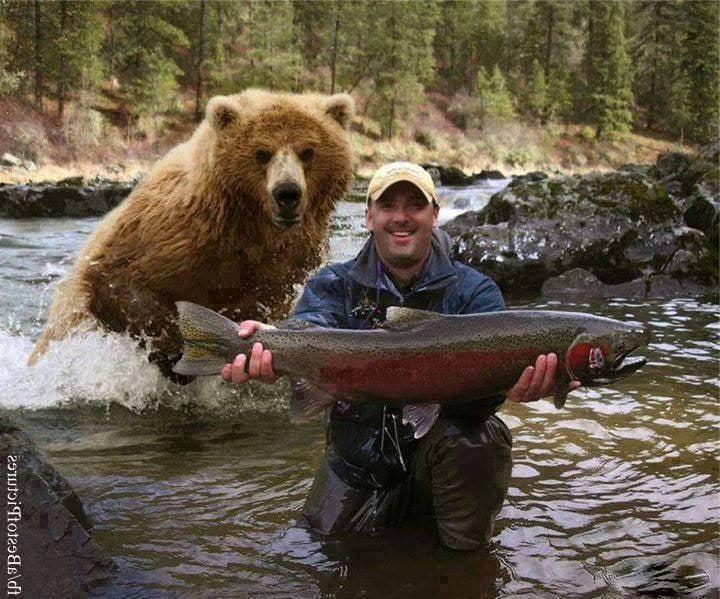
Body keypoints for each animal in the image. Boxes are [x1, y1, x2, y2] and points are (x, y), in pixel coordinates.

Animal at [28, 89, 355, 377]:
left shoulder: (289, 260)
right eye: (262, 153)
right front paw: (176, 350)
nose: (287, 193)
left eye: (308, 151)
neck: (250, 228)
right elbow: (118, 281)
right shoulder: (173, 235)